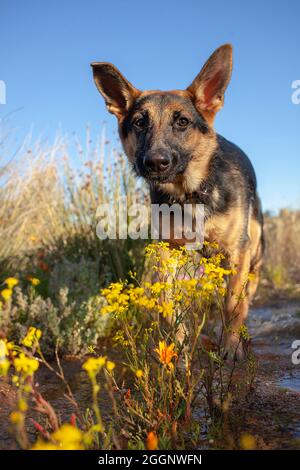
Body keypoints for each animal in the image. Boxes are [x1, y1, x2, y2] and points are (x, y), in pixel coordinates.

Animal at [91, 45, 262, 360]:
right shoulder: (167, 251)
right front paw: (176, 348)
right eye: (139, 122)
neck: (190, 193)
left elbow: (233, 304)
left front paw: (231, 346)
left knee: (246, 294)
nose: (156, 162)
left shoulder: (237, 251)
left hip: (254, 253)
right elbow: (168, 305)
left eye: (182, 121)